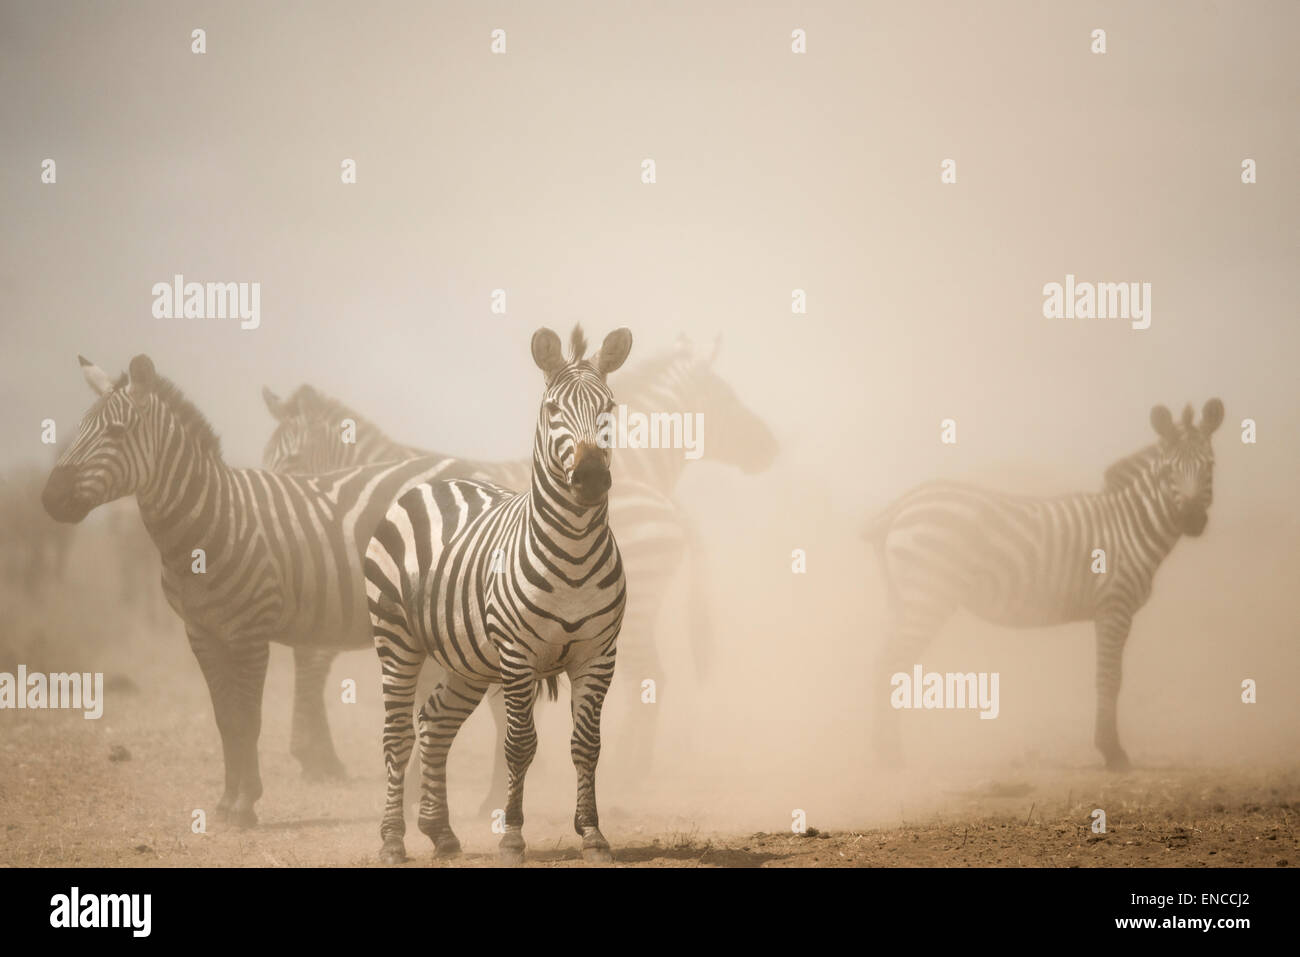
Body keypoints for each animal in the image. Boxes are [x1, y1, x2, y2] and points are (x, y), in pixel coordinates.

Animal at [41, 351, 462, 821]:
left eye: (115, 432)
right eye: (79, 429)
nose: (50, 498)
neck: (210, 522)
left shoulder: (250, 633)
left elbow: (249, 719)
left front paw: (246, 803)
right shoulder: (201, 632)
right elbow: (227, 718)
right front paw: (227, 801)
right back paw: (417, 797)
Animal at [366, 325, 629, 863]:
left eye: (609, 406)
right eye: (552, 410)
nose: (592, 478)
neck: (573, 553)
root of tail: (434, 484)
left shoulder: (598, 654)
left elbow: (587, 745)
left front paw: (593, 835)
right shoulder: (518, 654)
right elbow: (520, 744)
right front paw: (511, 838)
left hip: (468, 661)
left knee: (435, 724)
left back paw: (441, 833)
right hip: (396, 639)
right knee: (398, 736)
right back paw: (392, 841)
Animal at [868, 397, 1222, 769]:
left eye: (1210, 466)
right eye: (1169, 470)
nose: (1193, 521)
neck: (1129, 526)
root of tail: (903, 504)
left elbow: (1111, 678)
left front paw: (1109, 748)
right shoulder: (1114, 607)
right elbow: (1110, 679)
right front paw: (1112, 752)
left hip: (905, 600)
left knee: (884, 661)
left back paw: (884, 750)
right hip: (929, 596)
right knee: (891, 662)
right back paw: (889, 756)